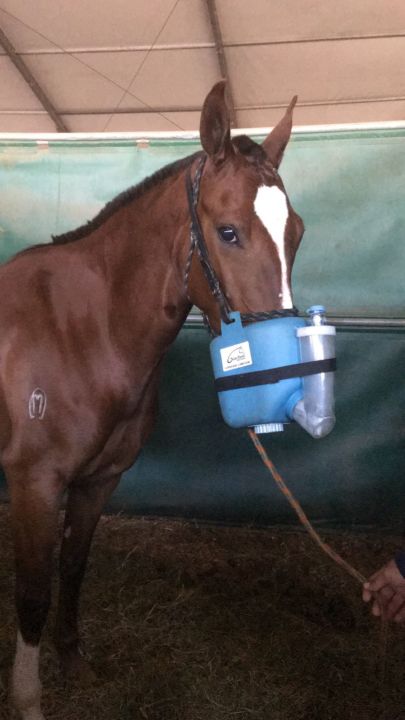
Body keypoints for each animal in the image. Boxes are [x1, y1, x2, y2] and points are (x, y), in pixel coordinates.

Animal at [0, 81, 304, 716]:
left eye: (298, 231)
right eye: (228, 232)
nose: (282, 374)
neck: (82, 330)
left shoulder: (99, 481)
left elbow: (73, 568)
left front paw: (74, 663)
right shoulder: (34, 483)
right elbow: (33, 593)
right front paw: (28, 699)